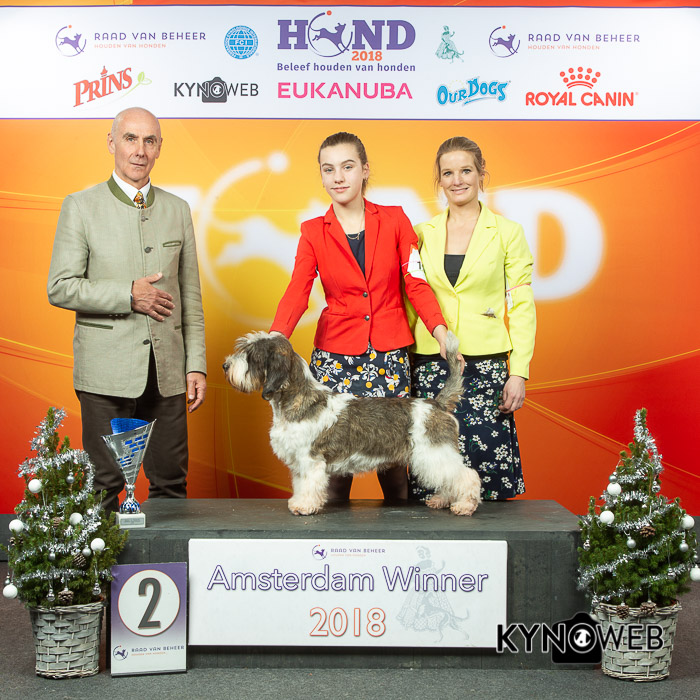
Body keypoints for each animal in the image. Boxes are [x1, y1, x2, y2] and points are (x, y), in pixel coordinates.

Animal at [223, 331, 480, 516]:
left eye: (251, 354)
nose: (225, 366)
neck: (296, 398)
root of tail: (437, 404)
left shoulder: (310, 460)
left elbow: (309, 484)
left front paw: (305, 506)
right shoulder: (298, 462)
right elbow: (300, 484)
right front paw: (298, 502)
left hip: (435, 453)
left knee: (467, 476)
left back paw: (465, 505)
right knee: (451, 479)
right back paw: (442, 500)